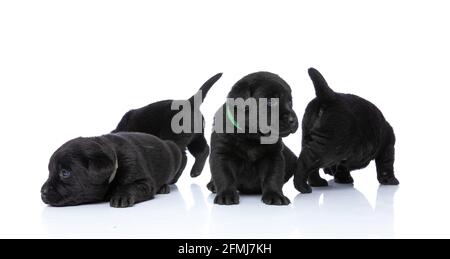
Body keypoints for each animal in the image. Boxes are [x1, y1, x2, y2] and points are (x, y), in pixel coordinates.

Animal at [40, 133, 185, 208]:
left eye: (64, 173)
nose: (42, 191)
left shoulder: (144, 181)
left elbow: (133, 185)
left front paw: (121, 196)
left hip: (176, 152)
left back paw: (164, 187)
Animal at [207, 73, 298, 207]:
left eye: (290, 101)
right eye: (270, 101)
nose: (293, 120)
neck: (250, 136)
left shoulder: (273, 155)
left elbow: (273, 176)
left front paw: (275, 195)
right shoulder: (221, 153)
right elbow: (224, 175)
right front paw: (226, 195)